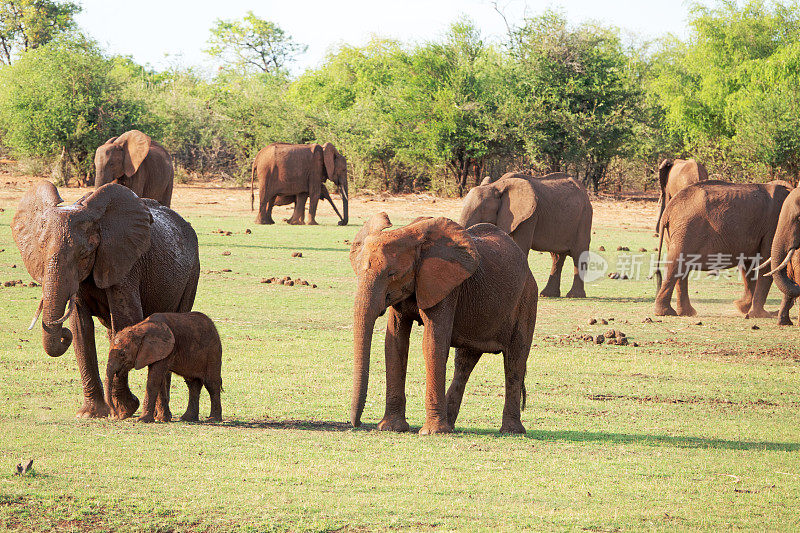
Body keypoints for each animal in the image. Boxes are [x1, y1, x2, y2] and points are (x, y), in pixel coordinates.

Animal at [12, 181, 200, 418]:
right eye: (41, 250)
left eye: (84, 254)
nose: (63, 334)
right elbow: (81, 326)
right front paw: (91, 414)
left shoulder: (126, 264)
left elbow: (126, 320)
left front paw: (125, 410)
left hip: (192, 273)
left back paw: (161, 416)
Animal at [456, 174, 592, 300]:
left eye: (482, 209)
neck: (497, 185)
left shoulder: (529, 217)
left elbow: (520, 246)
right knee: (557, 257)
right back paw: (547, 294)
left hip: (584, 217)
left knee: (578, 254)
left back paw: (574, 296)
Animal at [652, 181, 792, 318]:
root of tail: (668, 210)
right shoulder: (773, 226)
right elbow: (766, 265)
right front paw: (760, 315)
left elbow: (749, 264)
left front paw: (741, 308)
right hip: (685, 229)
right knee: (676, 262)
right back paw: (666, 313)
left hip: (678, 232)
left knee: (682, 266)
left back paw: (687, 313)